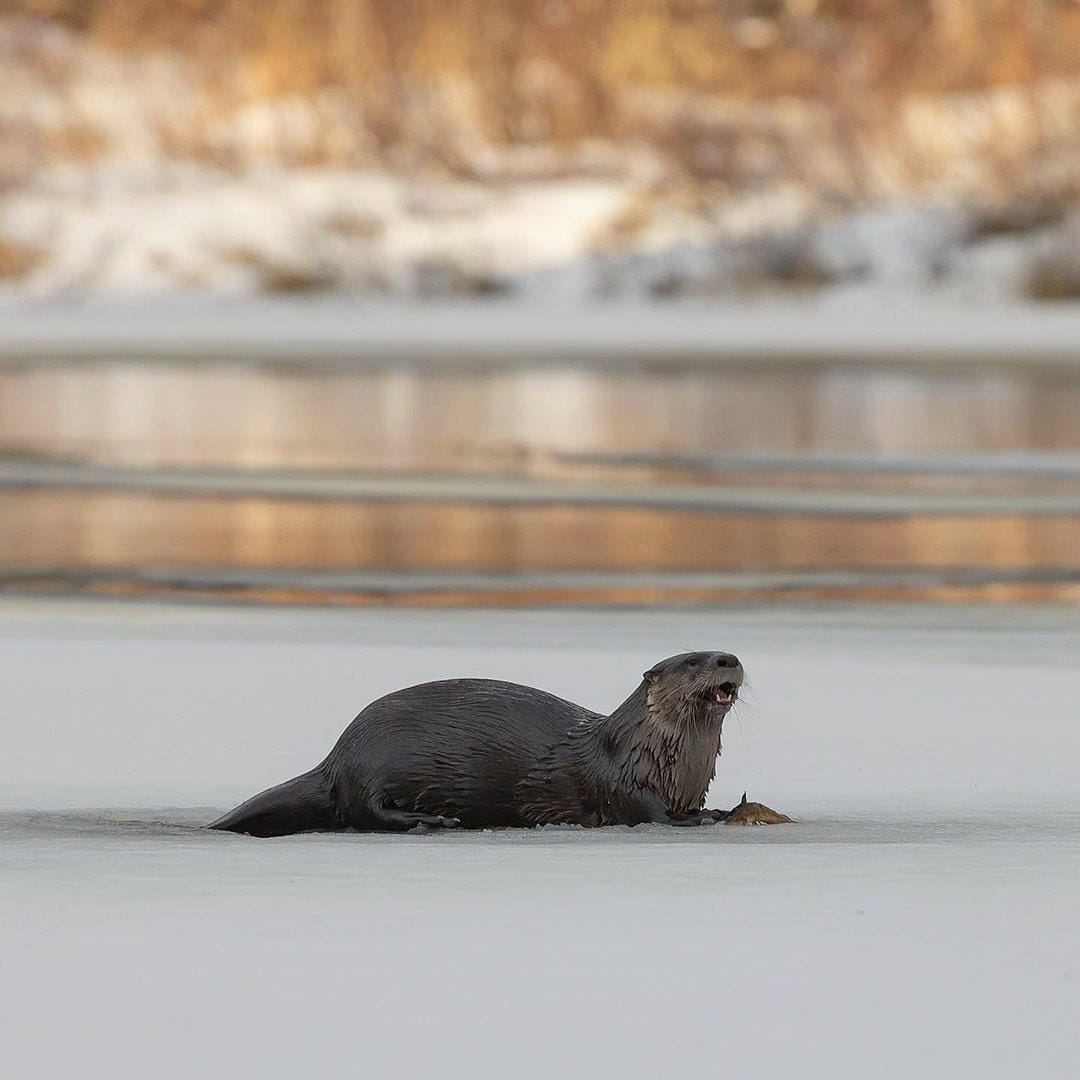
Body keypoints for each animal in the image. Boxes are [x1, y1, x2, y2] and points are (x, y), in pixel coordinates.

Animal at [208, 650, 790, 837]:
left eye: (722, 651)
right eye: (693, 659)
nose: (728, 659)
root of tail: (335, 756)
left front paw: (727, 808)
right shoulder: (626, 787)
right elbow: (656, 818)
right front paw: (711, 817)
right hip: (372, 762)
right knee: (364, 810)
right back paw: (434, 820)